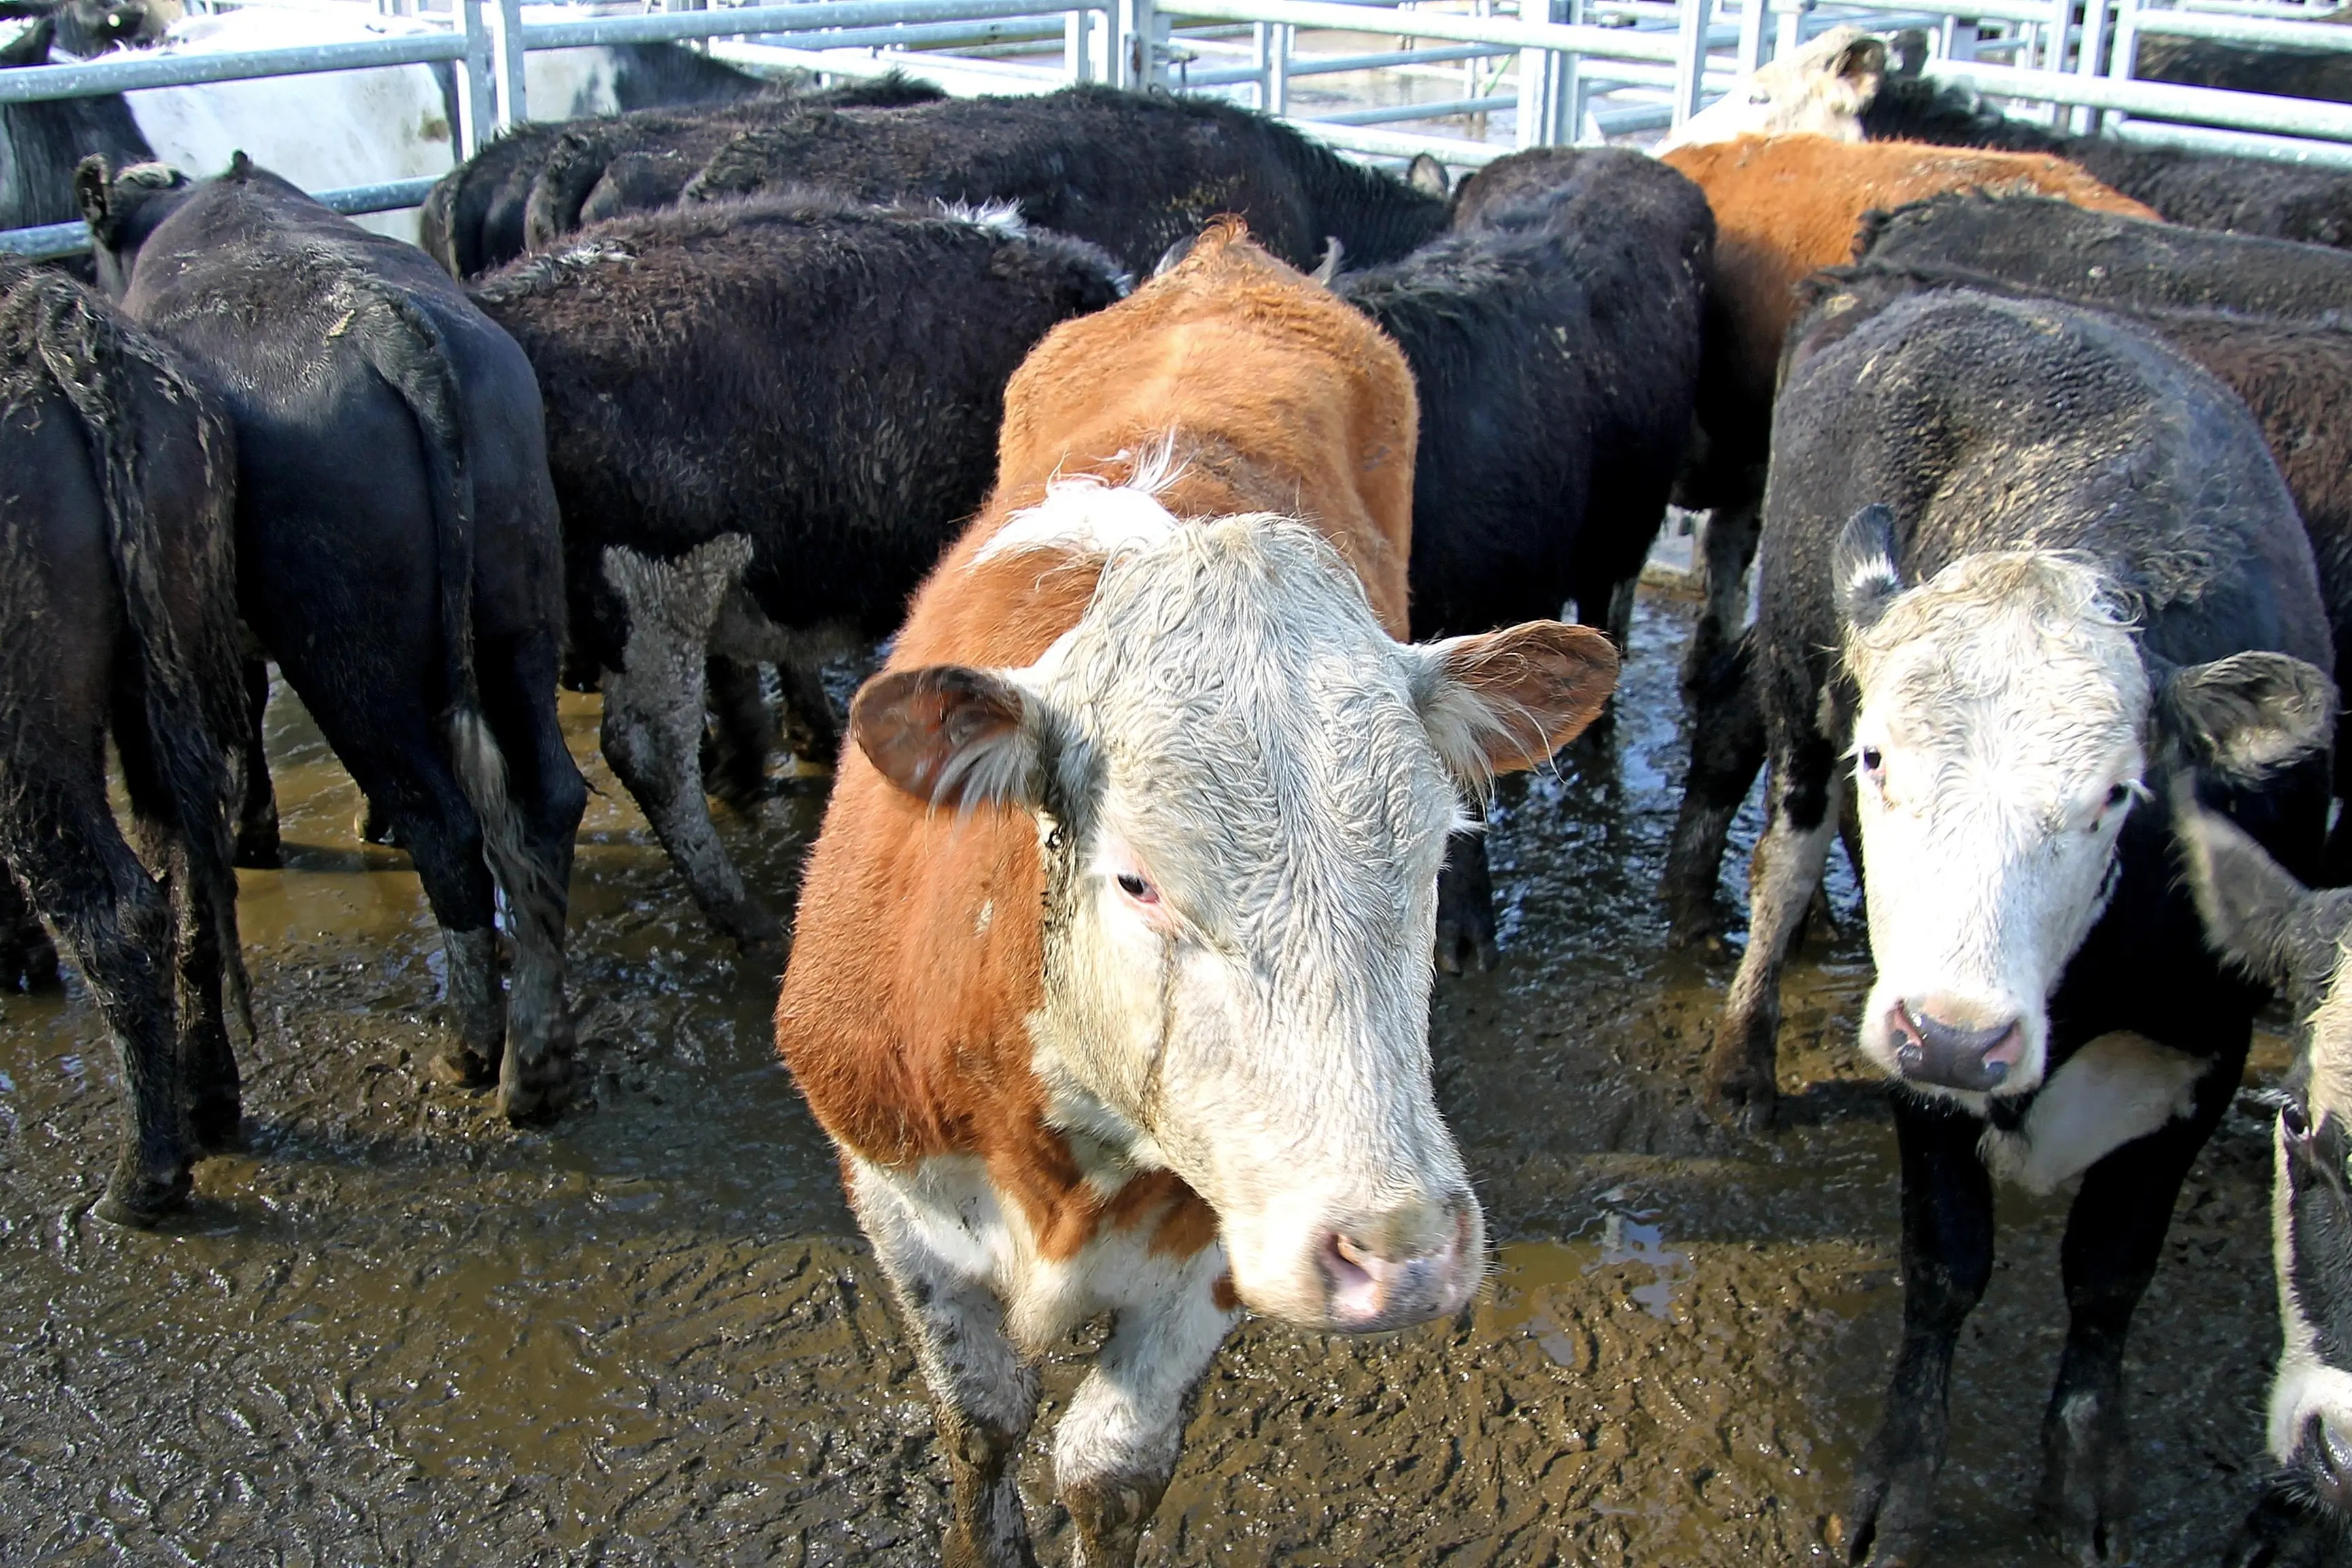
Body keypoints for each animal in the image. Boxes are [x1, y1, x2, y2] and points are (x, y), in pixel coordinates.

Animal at [0, 259, 249, 1226]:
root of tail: (55, 328)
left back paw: (141, 1180)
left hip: (30, 736)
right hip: (157, 686)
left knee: (114, 909)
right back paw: (206, 1101)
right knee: (189, 876)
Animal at [77, 155, 586, 1121]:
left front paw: (254, 833)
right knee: (547, 797)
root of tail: (386, 324)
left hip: (344, 653)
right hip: (519, 607)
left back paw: (471, 1046)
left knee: (447, 828)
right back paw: (535, 1057)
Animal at [774, 221, 1618, 1567]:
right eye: (1137, 878)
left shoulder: (1221, 1237)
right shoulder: (892, 1193)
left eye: (1434, 854)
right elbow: (982, 1417)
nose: (1401, 1249)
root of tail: (1228, 256)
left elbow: (1109, 1467)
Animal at [1713, 285, 2334, 1563]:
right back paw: (1747, 1058)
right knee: (1782, 868)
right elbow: (1947, 1264)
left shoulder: (2205, 1055)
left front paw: (2086, 1479)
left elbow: (2108, 1277)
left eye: (2117, 792)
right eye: (1880, 756)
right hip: (1796, 694)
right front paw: (1897, 1485)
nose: (1960, 1037)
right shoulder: (1915, 1034)